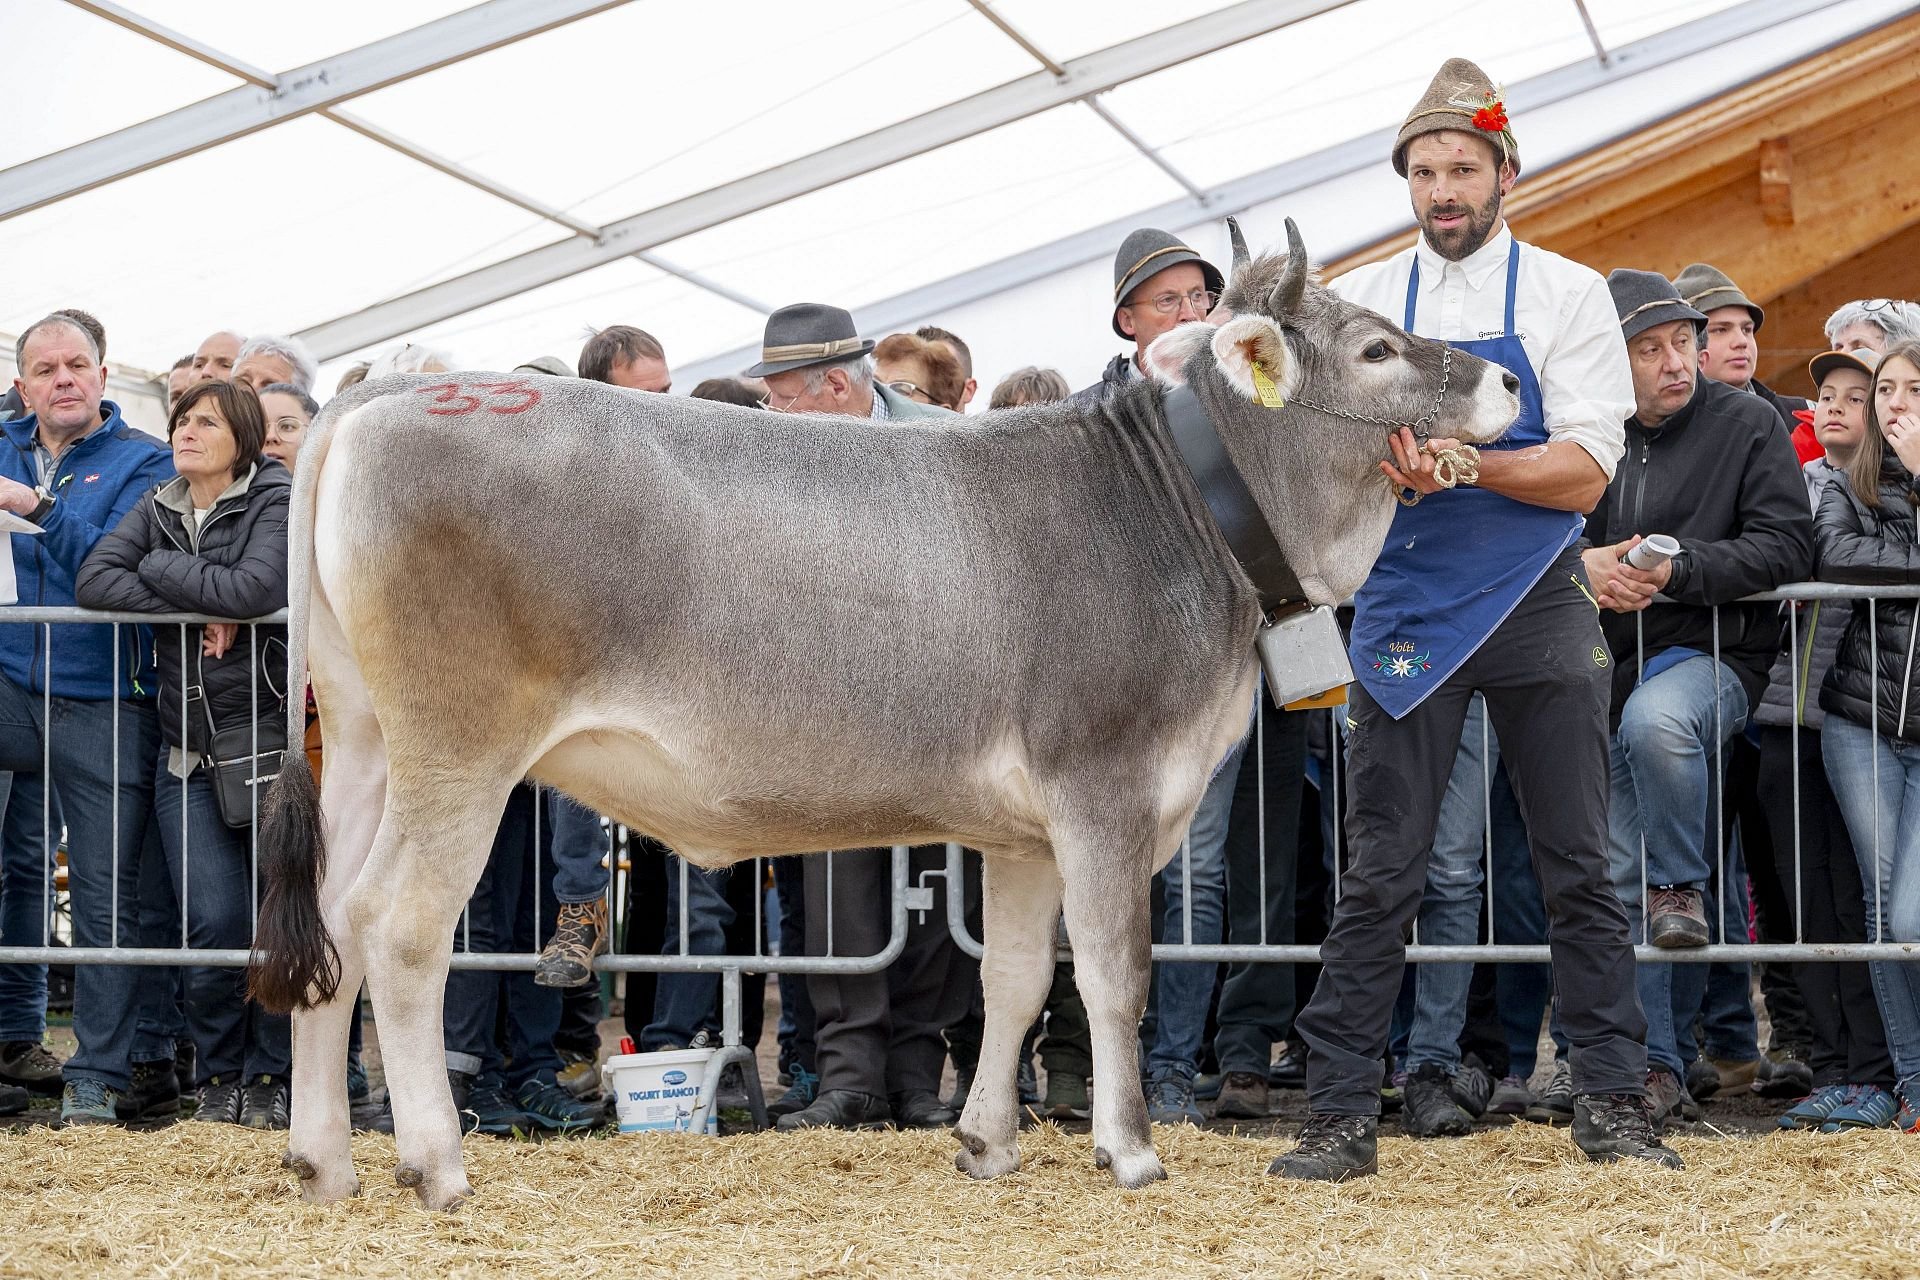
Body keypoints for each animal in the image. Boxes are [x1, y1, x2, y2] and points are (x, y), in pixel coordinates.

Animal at [250, 221, 1519, 1210]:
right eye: (1377, 346)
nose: (1506, 381)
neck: (1180, 511)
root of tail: (385, 392)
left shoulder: (1023, 827)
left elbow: (1016, 976)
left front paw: (986, 1140)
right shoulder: (1107, 783)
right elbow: (1114, 972)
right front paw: (1130, 1148)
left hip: (363, 741)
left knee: (326, 920)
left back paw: (323, 1160)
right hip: (460, 749)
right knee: (395, 927)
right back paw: (434, 1160)